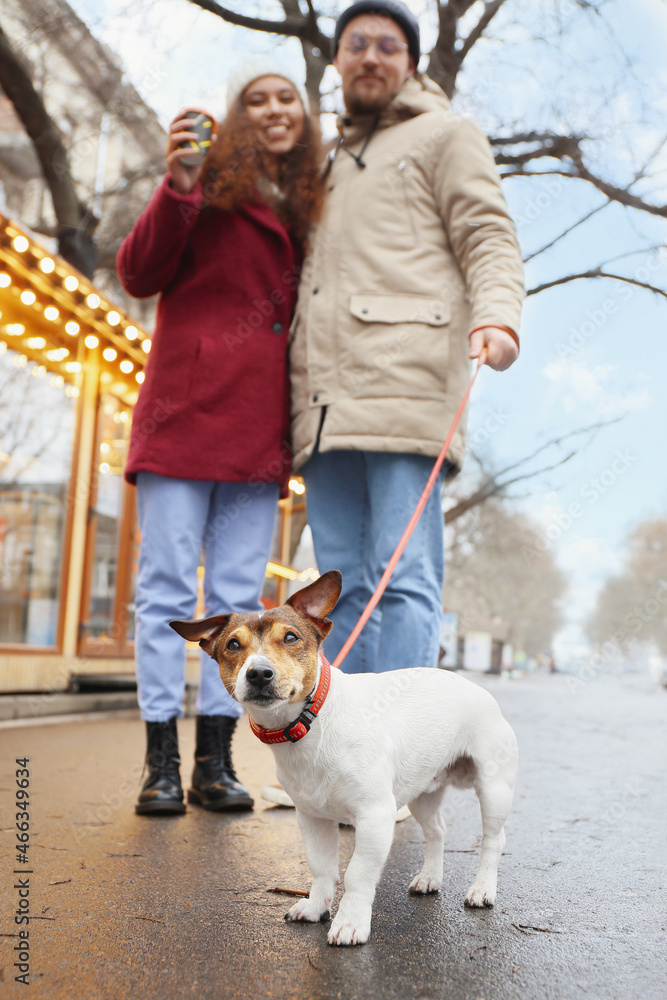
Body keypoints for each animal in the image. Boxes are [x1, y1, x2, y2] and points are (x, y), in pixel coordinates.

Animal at [171, 572, 516, 944]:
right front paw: (315, 907)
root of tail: (475, 687)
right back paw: (429, 877)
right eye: (233, 646)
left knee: (493, 840)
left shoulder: (375, 817)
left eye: (290, 637)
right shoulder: (312, 818)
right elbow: (322, 868)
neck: (309, 724)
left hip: (493, 789)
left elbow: (357, 875)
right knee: (437, 830)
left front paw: (350, 921)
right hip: (423, 791)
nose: (259, 673)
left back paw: (482, 889)